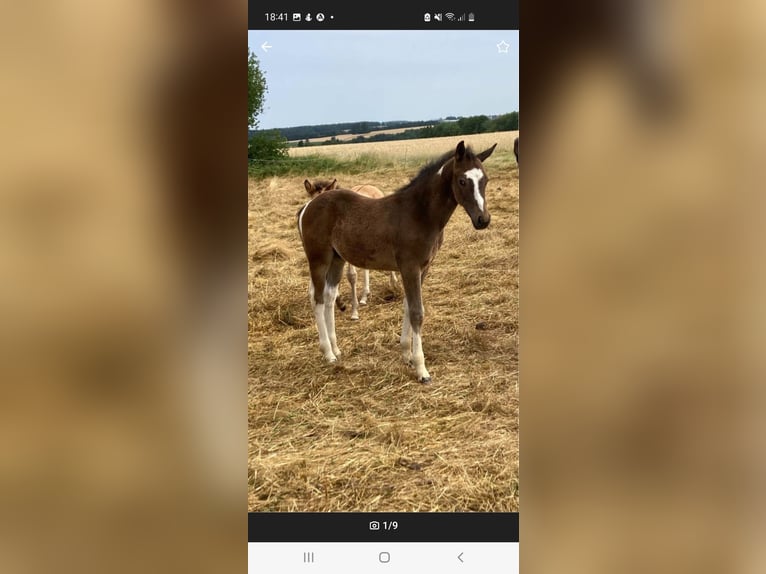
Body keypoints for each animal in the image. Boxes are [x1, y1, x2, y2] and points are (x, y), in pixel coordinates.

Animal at [304, 178, 400, 322]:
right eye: (311, 201)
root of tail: (371, 186)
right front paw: (341, 303)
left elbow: (351, 276)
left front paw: (354, 311)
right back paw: (365, 295)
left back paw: (393, 282)